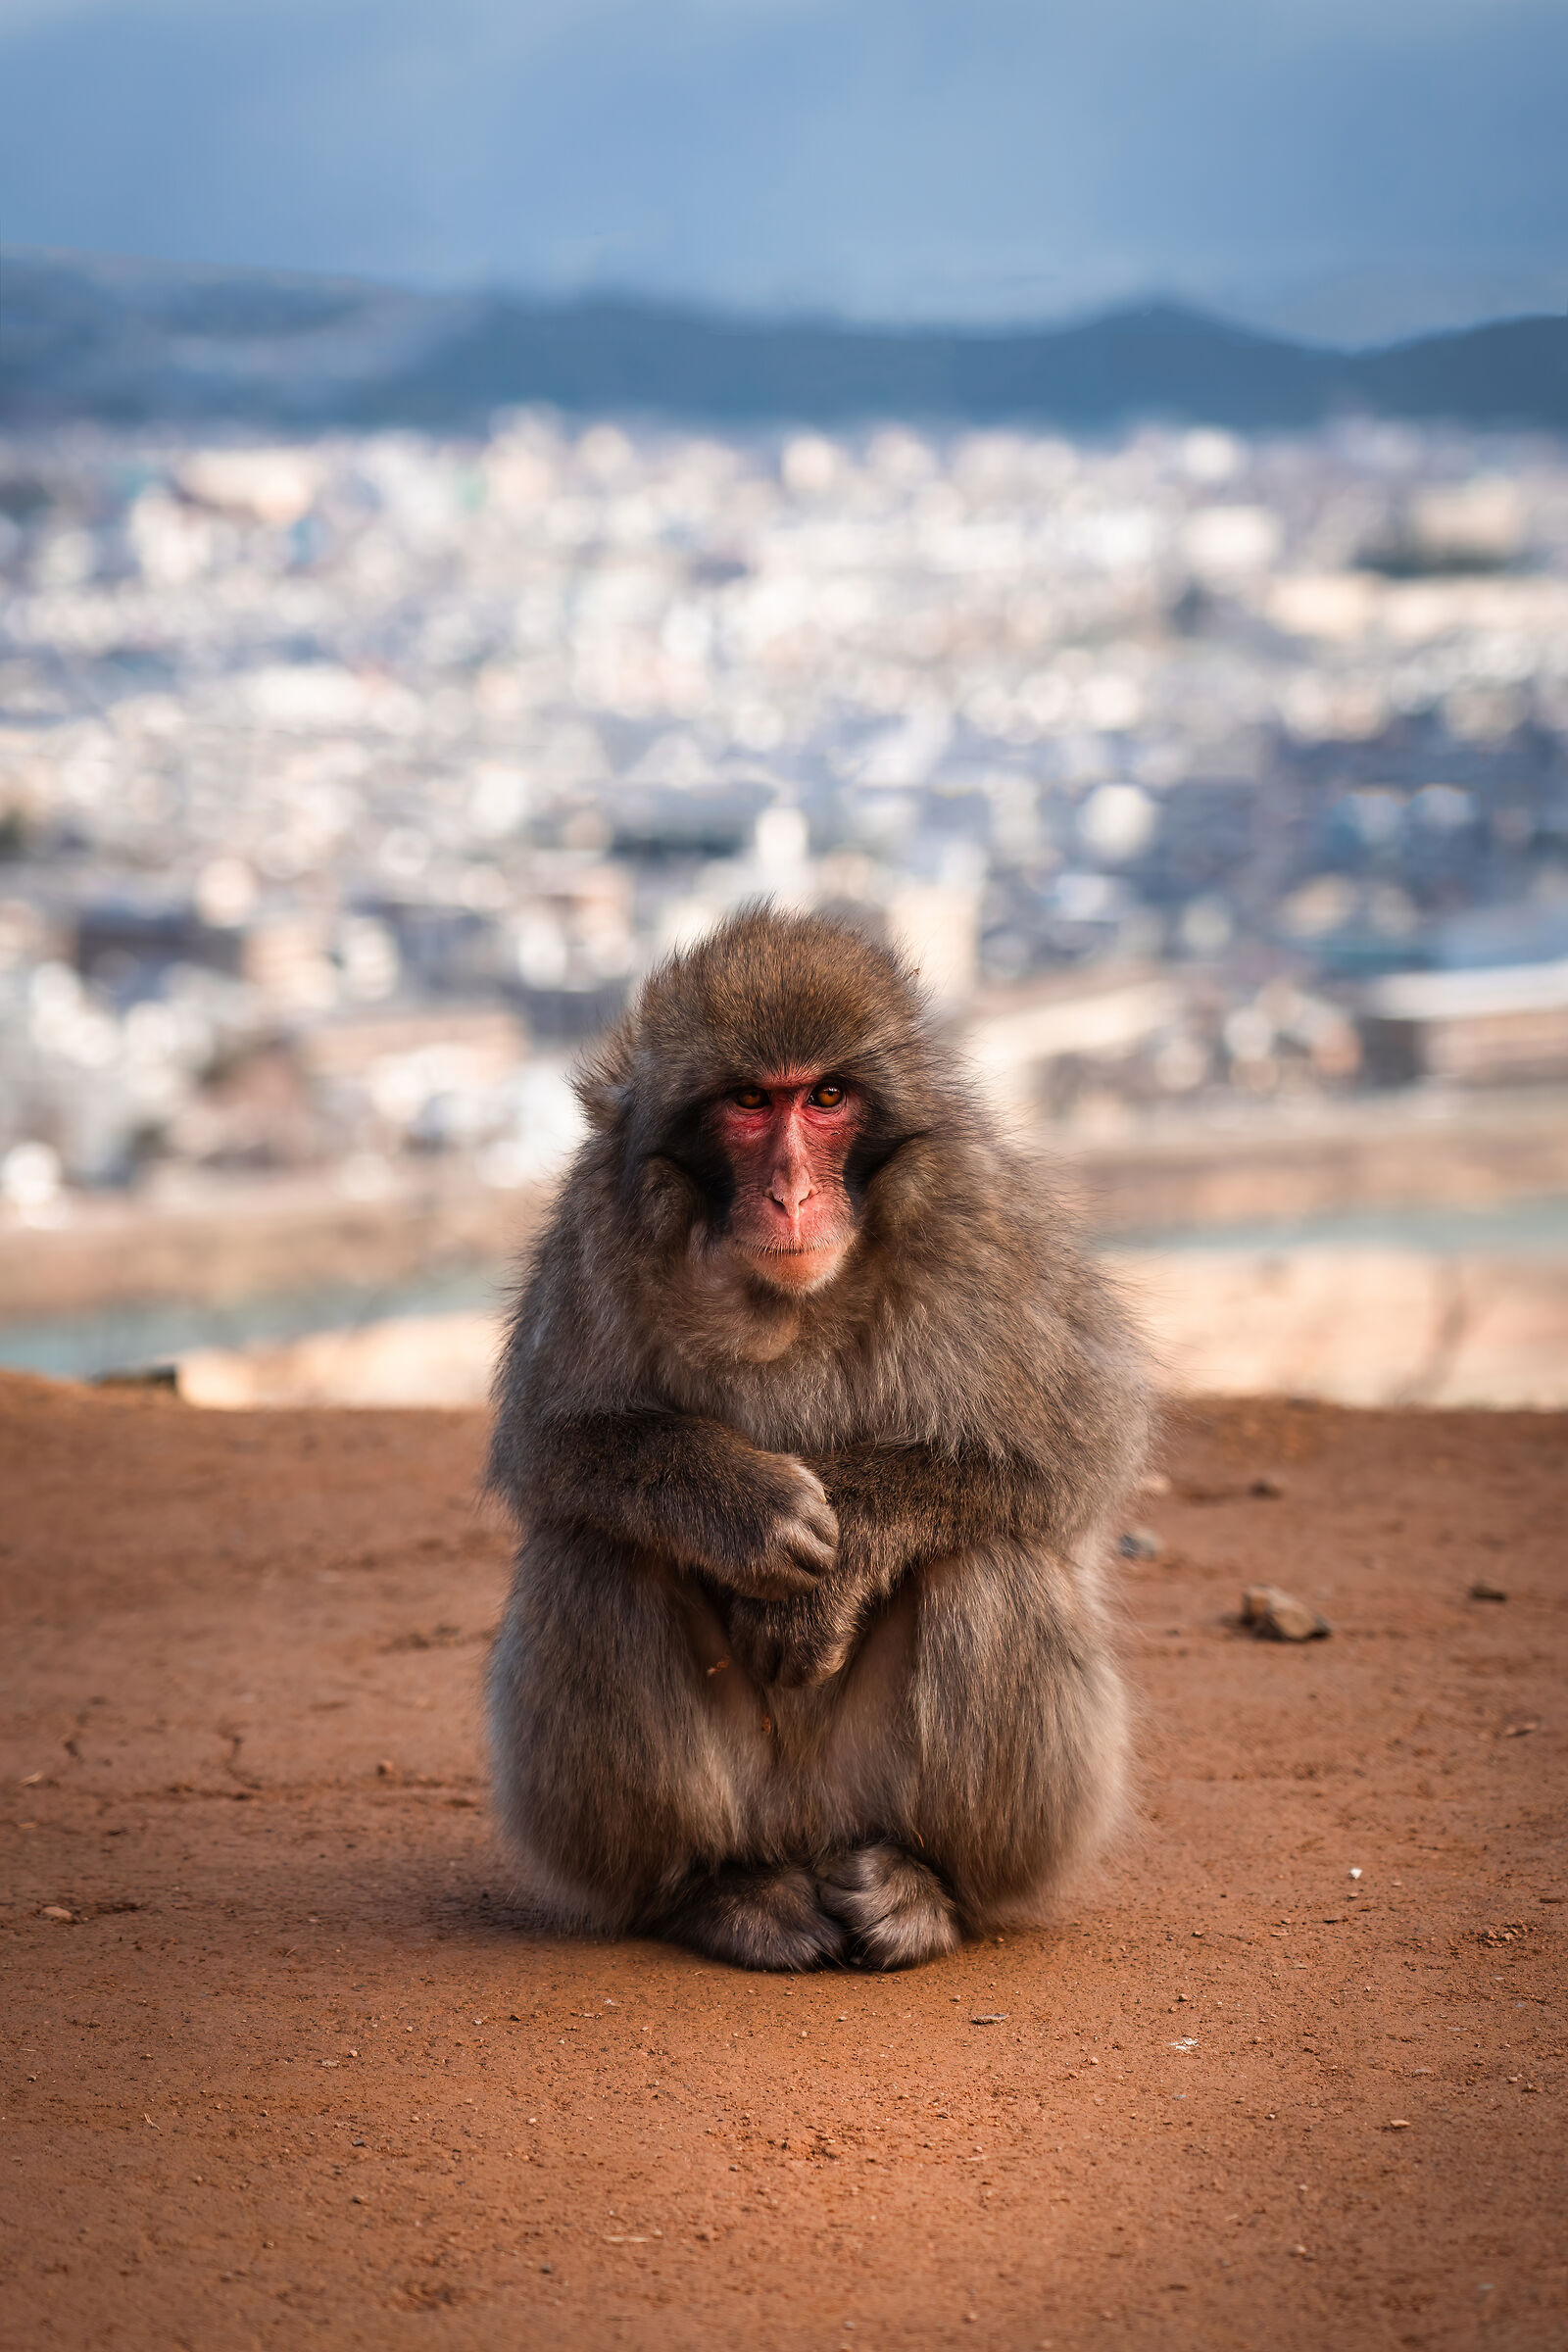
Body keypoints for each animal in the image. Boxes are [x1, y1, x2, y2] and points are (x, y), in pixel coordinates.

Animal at [486, 905, 1150, 1971]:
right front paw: (748, 1509)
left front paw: (838, 1563)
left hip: (881, 1798)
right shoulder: (599, 1224)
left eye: (828, 1097)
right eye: (752, 1102)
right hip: (725, 1806)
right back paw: (721, 1891)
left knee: (993, 1560)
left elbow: (1078, 1443)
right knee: (595, 1554)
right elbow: (553, 1446)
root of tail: (806, 1830)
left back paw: (926, 1890)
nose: (793, 1192)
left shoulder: (979, 1220)